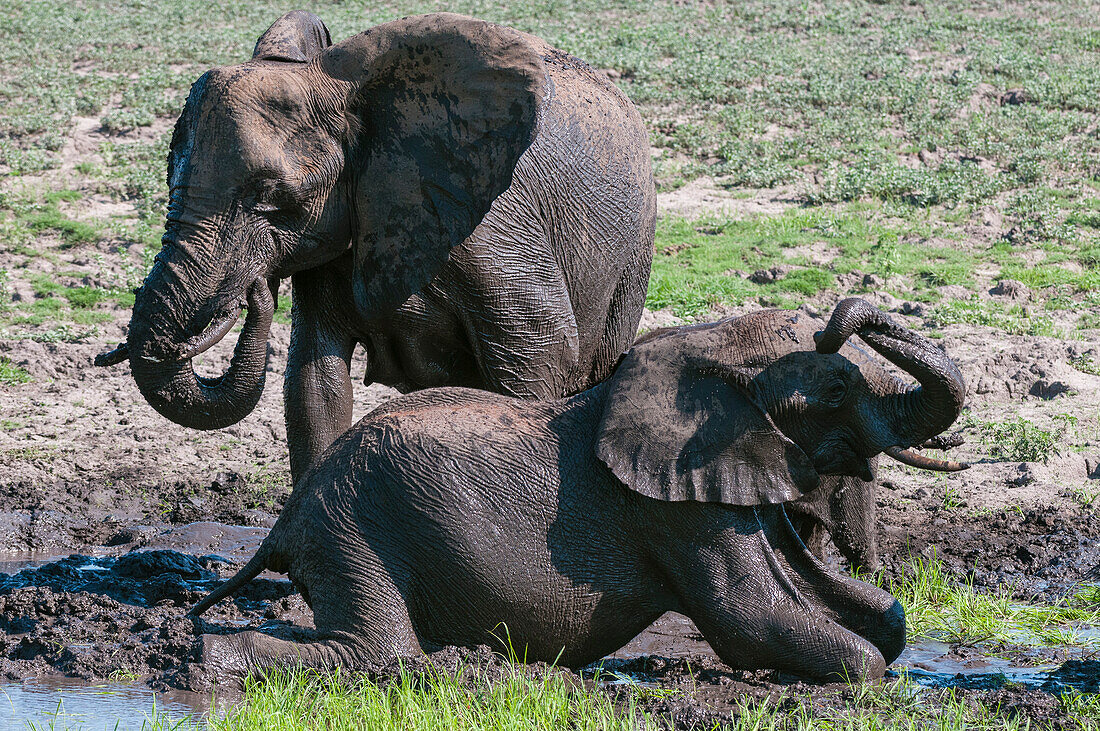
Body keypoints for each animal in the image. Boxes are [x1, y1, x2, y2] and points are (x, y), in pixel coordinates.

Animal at [193, 296, 968, 677]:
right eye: (835, 386)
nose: (840, 319)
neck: (713, 346)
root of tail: (288, 515)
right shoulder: (674, 511)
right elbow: (756, 619)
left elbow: (871, 615)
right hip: (354, 529)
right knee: (377, 653)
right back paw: (216, 661)